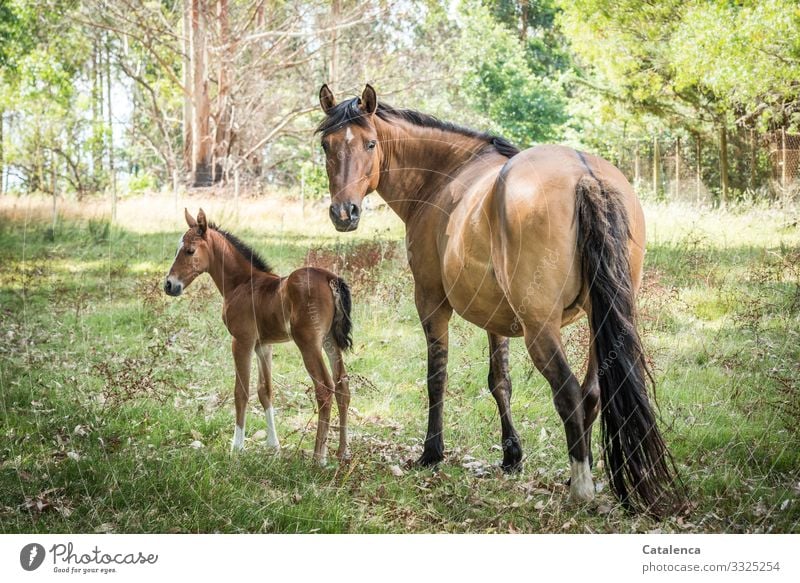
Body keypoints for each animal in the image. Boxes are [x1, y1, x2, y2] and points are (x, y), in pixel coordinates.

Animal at [164, 210, 352, 466]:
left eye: (190, 250)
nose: (169, 285)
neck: (242, 283)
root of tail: (329, 278)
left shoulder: (242, 341)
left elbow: (241, 391)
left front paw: (237, 446)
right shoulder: (263, 346)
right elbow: (265, 391)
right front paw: (273, 445)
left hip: (309, 343)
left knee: (324, 388)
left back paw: (318, 458)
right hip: (330, 341)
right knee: (342, 385)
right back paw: (342, 453)